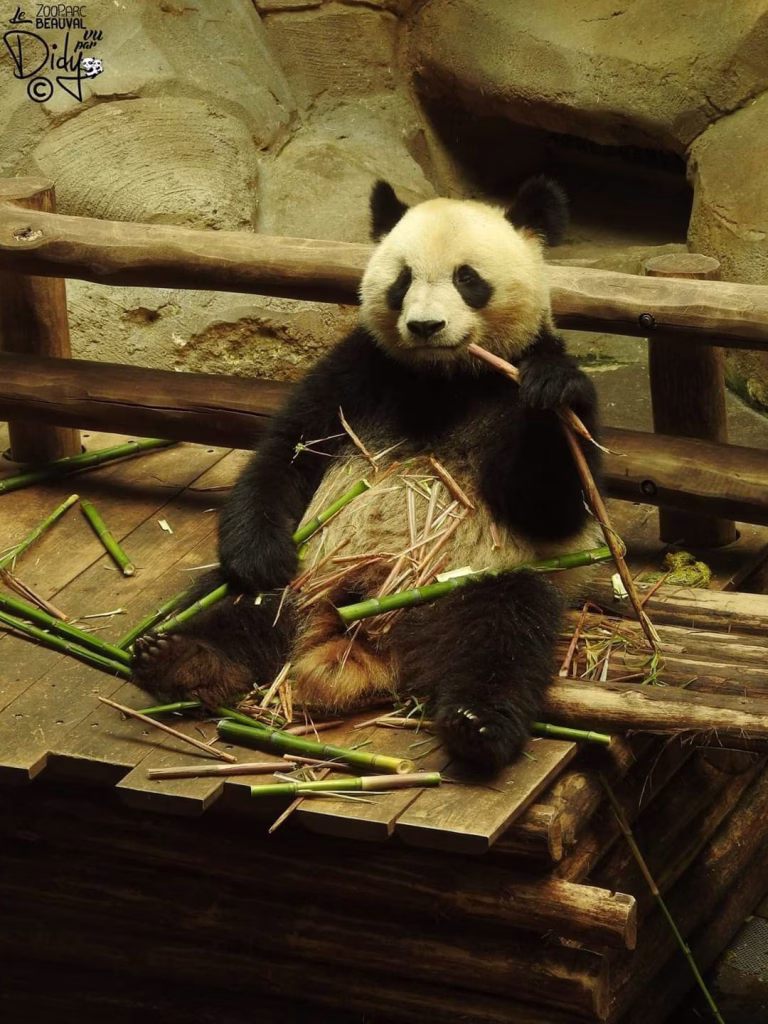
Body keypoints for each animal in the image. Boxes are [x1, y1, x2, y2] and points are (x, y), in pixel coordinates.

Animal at [134, 177, 602, 774]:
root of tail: (368, 638)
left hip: (474, 581)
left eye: (467, 278)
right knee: (233, 601)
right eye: (402, 280)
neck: (443, 379)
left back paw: (478, 725)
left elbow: (549, 506)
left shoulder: (511, 379)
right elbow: (287, 453)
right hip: (313, 569)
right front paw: (260, 556)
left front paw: (552, 392)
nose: (426, 327)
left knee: (505, 630)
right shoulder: (360, 371)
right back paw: (182, 658)